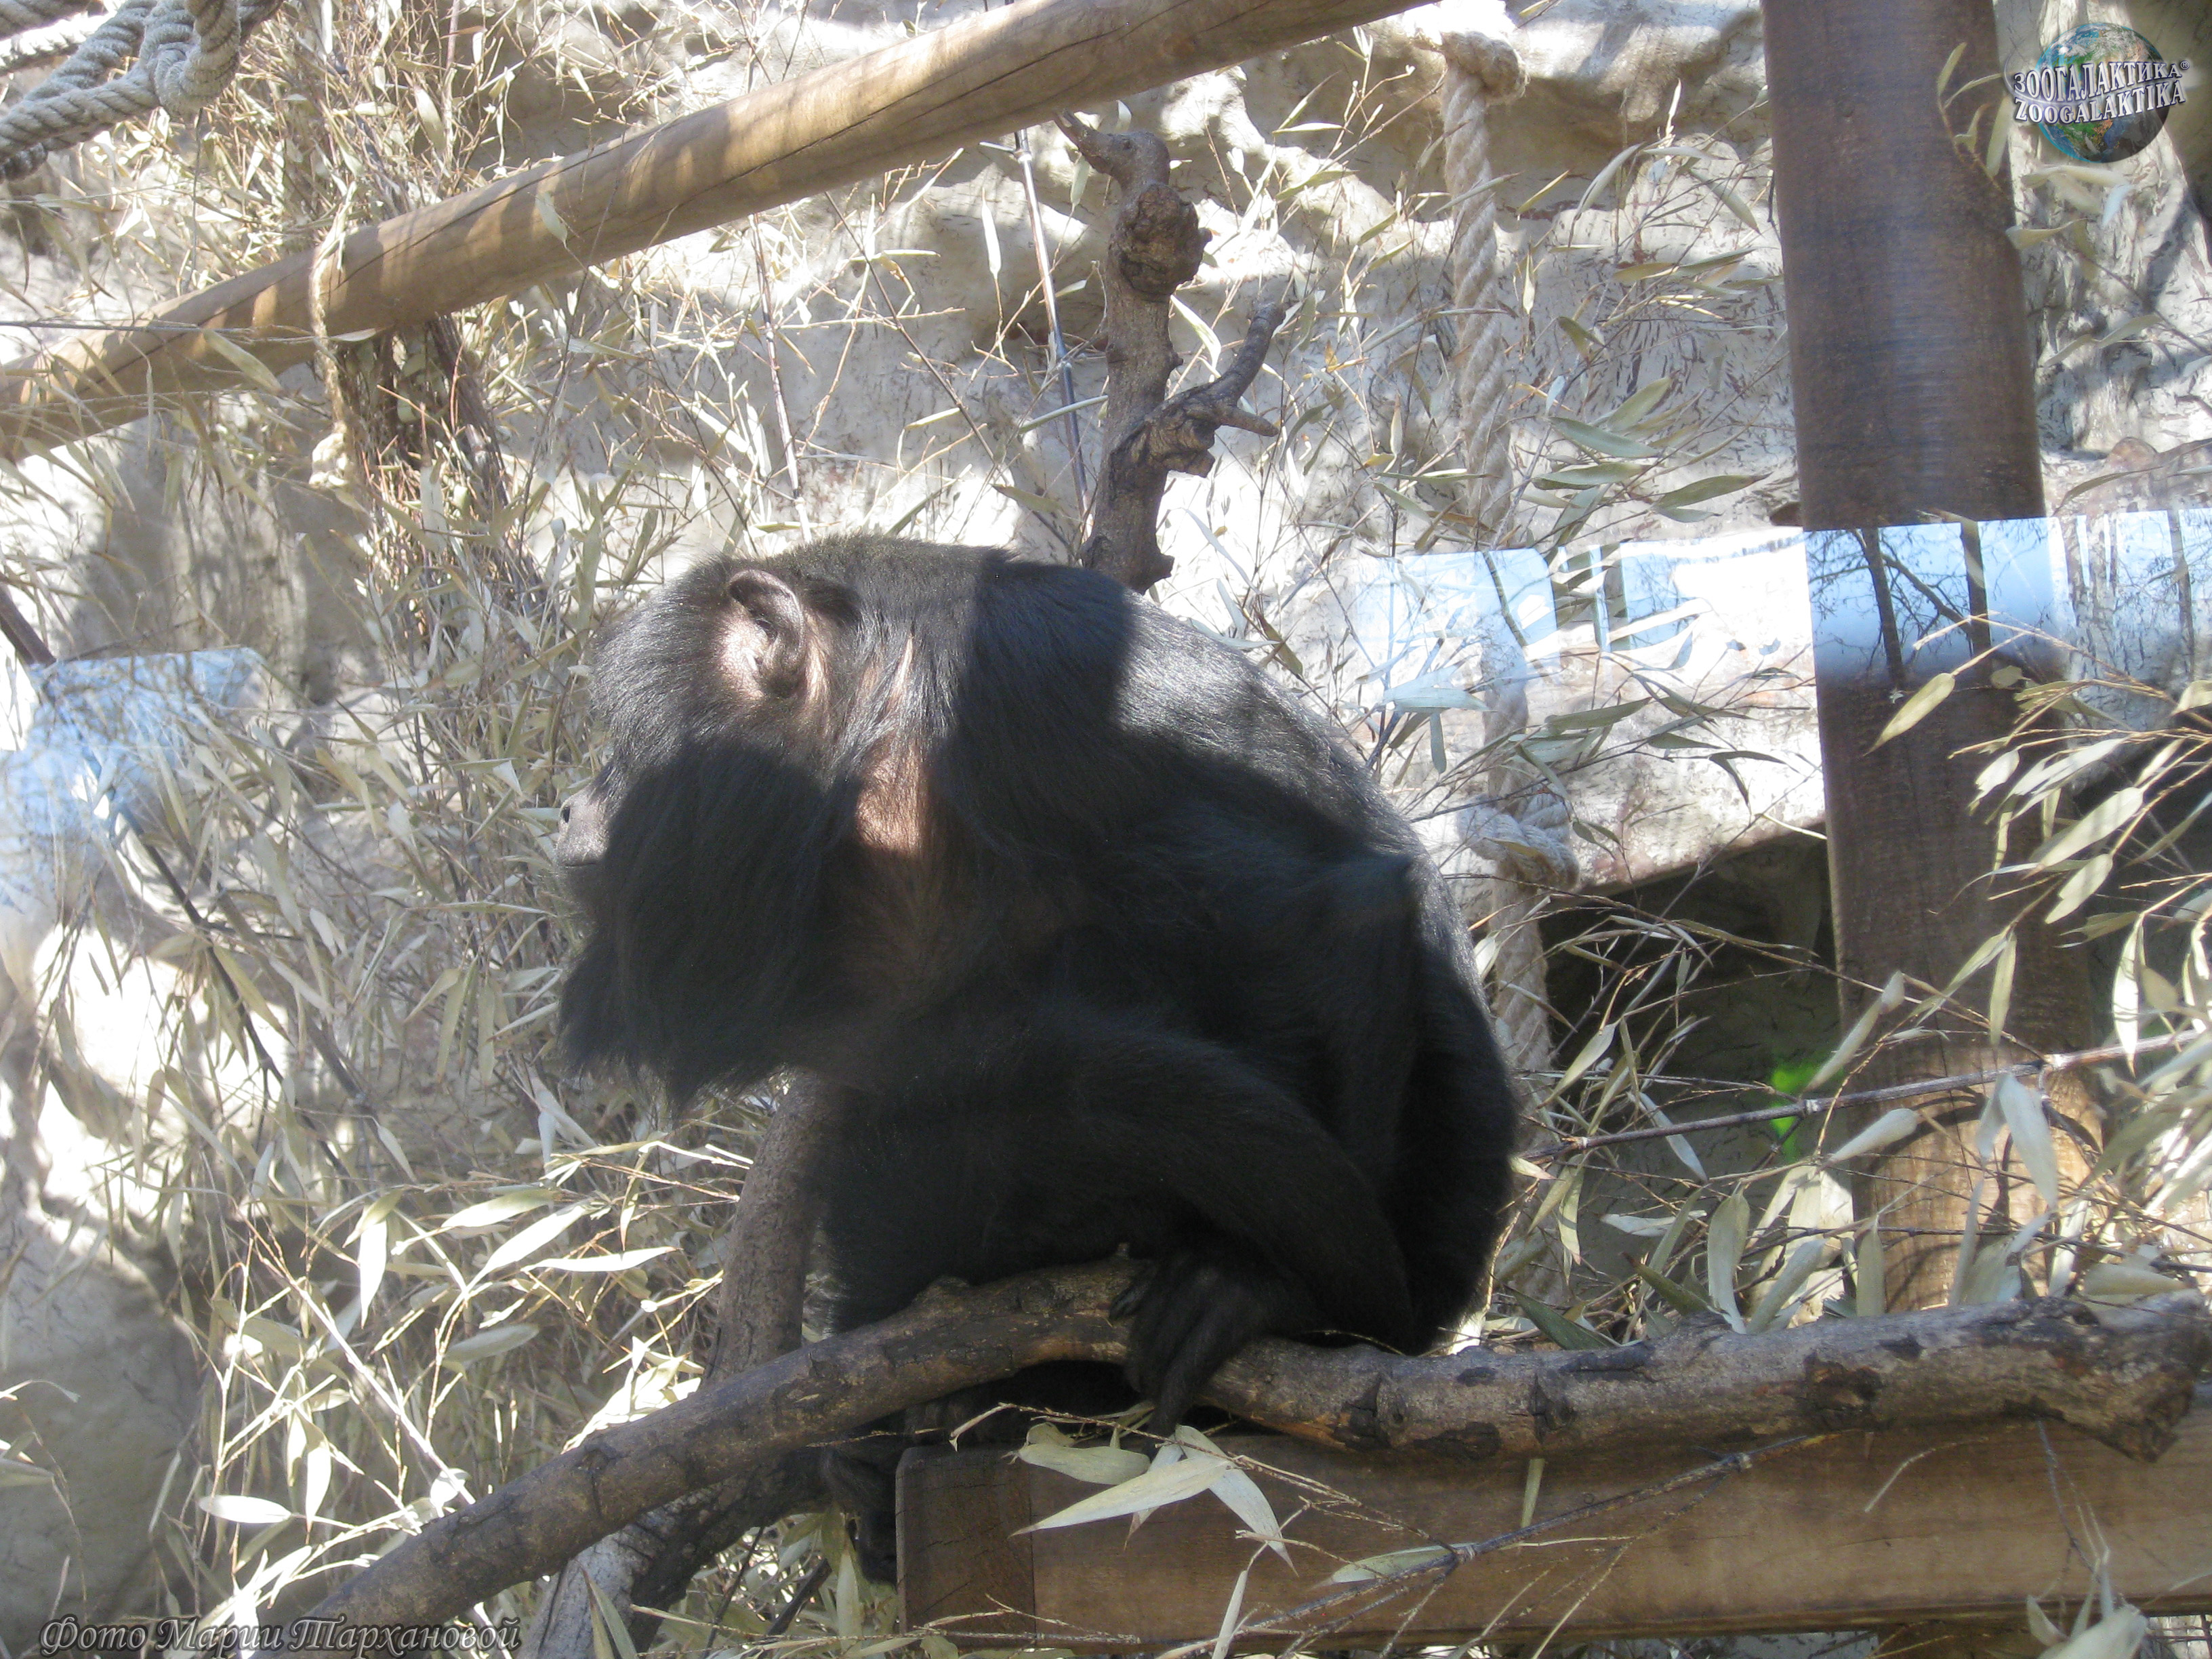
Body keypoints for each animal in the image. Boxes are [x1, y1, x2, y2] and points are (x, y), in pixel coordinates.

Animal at [556, 533, 1519, 1578]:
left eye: (622, 753)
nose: (569, 804)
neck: (884, 746)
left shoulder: (1038, 704)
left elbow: (1334, 912)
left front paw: (1283, 1294)